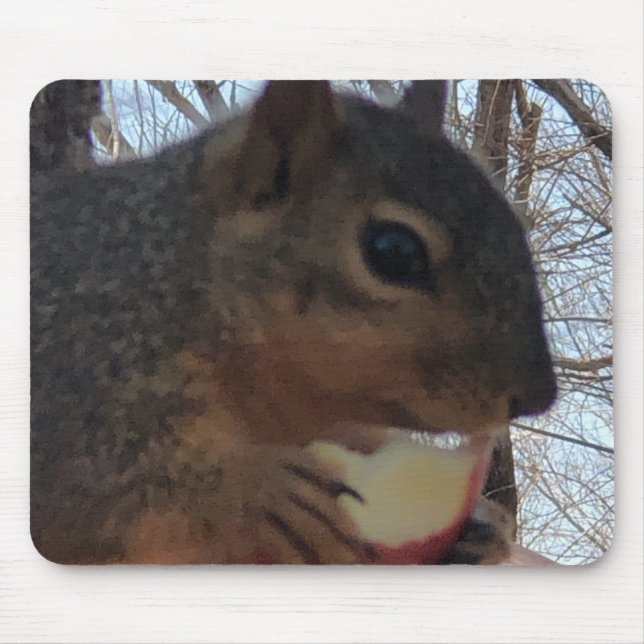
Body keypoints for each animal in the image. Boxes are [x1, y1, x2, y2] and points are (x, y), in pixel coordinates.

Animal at [30, 80, 556, 565]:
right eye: (394, 251)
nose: (537, 397)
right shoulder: (79, 370)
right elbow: (95, 490)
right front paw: (262, 489)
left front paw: (482, 528)